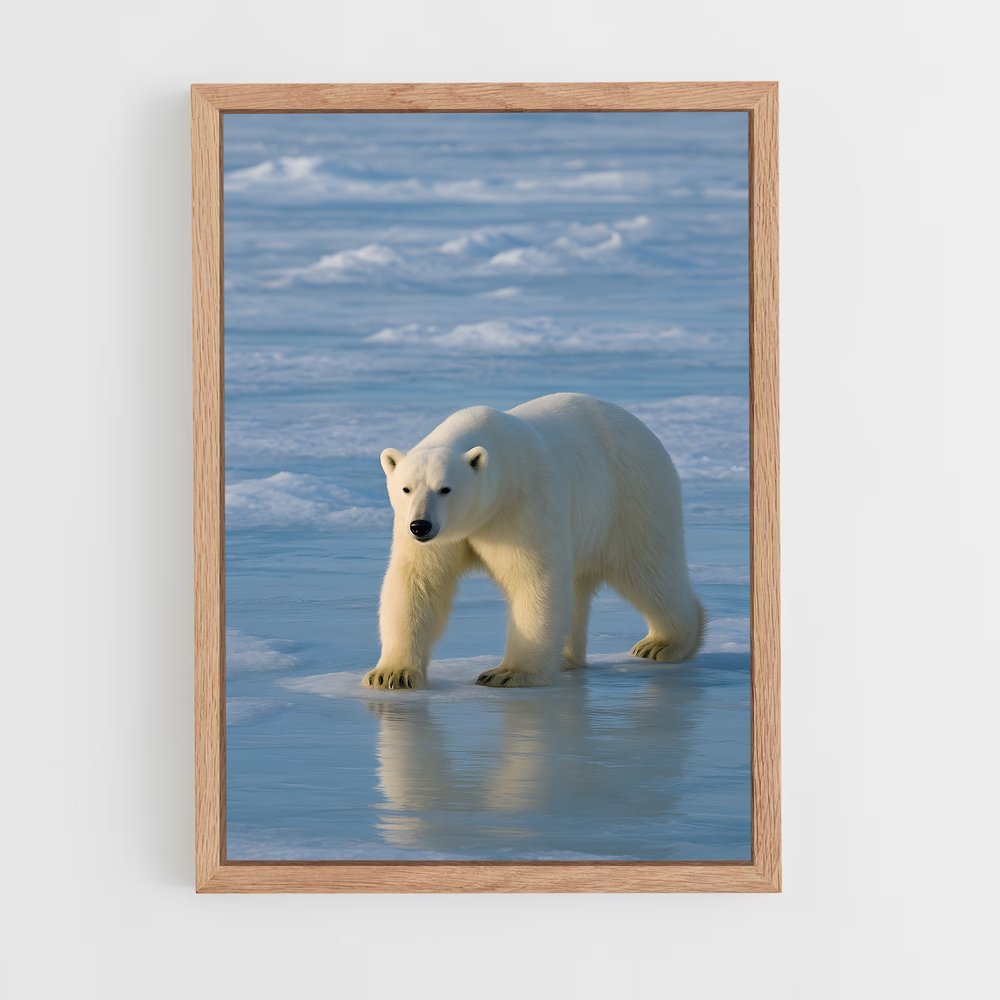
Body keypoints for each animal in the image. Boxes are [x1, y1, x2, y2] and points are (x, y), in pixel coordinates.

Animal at [363, 392, 704, 690]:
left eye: (445, 488)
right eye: (406, 488)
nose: (421, 526)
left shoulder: (522, 505)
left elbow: (533, 579)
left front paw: (508, 673)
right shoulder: (433, 536)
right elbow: (418, 583)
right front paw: (391, 675)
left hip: (632, 499)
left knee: (648, 571)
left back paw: (663, 643)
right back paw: (566, 657)